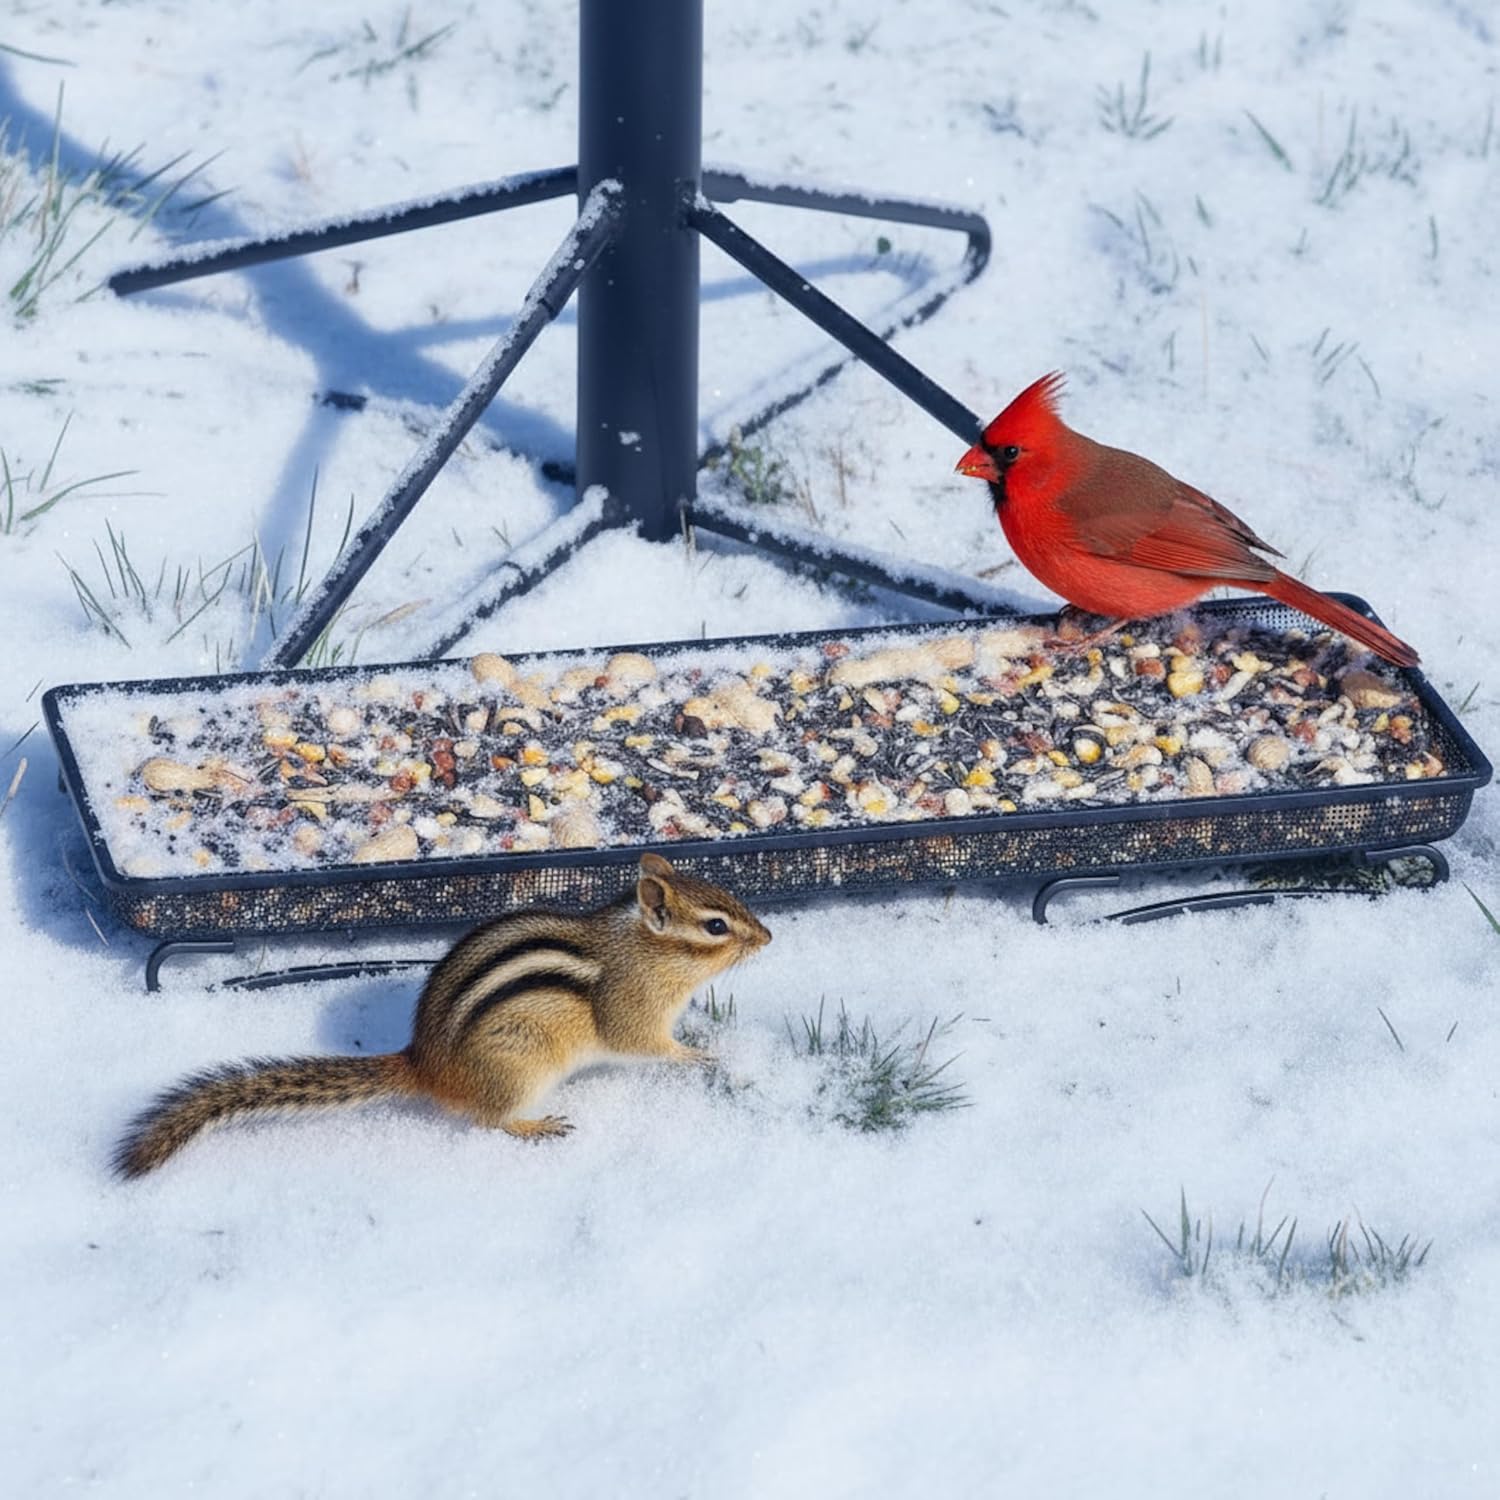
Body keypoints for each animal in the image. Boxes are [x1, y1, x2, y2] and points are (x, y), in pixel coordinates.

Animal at [115, 853, 771, 1177]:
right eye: (717, 926)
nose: (768, 937)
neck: (645, 951)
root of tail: (424, 1065)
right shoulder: (630, 1010)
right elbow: (647, 1046)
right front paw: (699, 1054)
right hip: (521, 1068)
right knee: (490, 1120)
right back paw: (534, 1126)